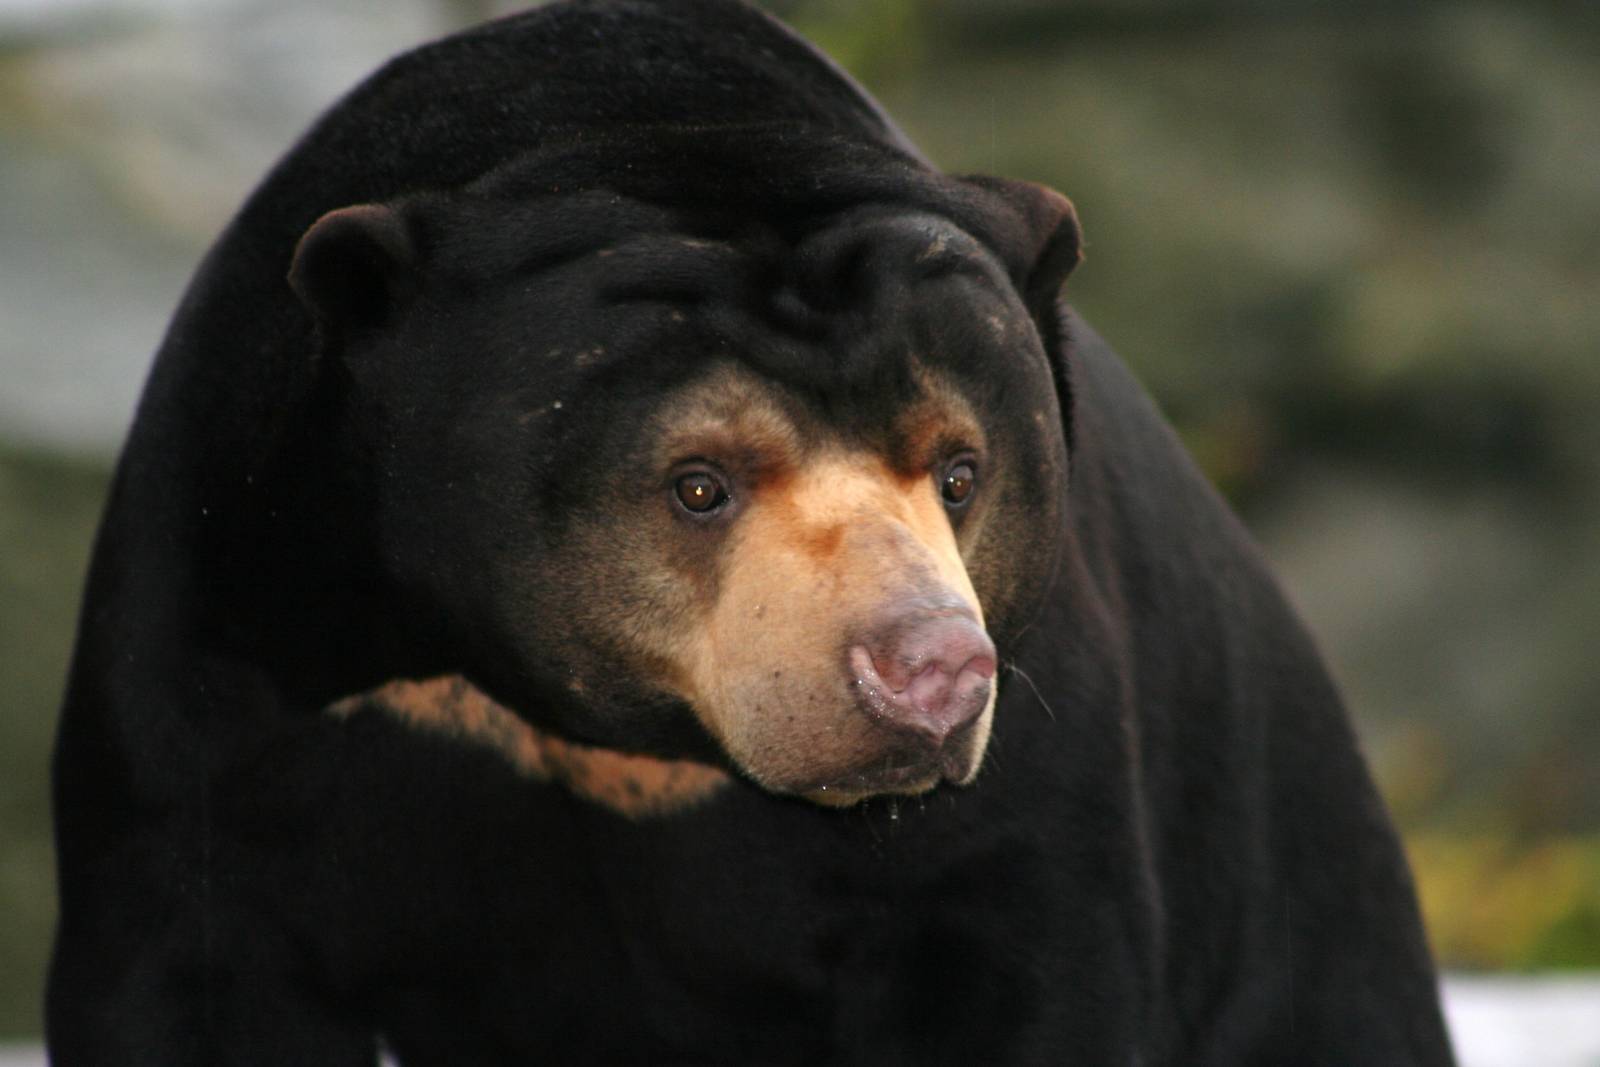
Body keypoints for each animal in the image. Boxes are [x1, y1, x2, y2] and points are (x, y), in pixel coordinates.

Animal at [47, 0, 1456, 1063]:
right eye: (699, 483)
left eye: (957, 469)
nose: (931, 672)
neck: (613, 732)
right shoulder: (235, 636)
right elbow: (189, 950)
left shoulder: (1032, 768)